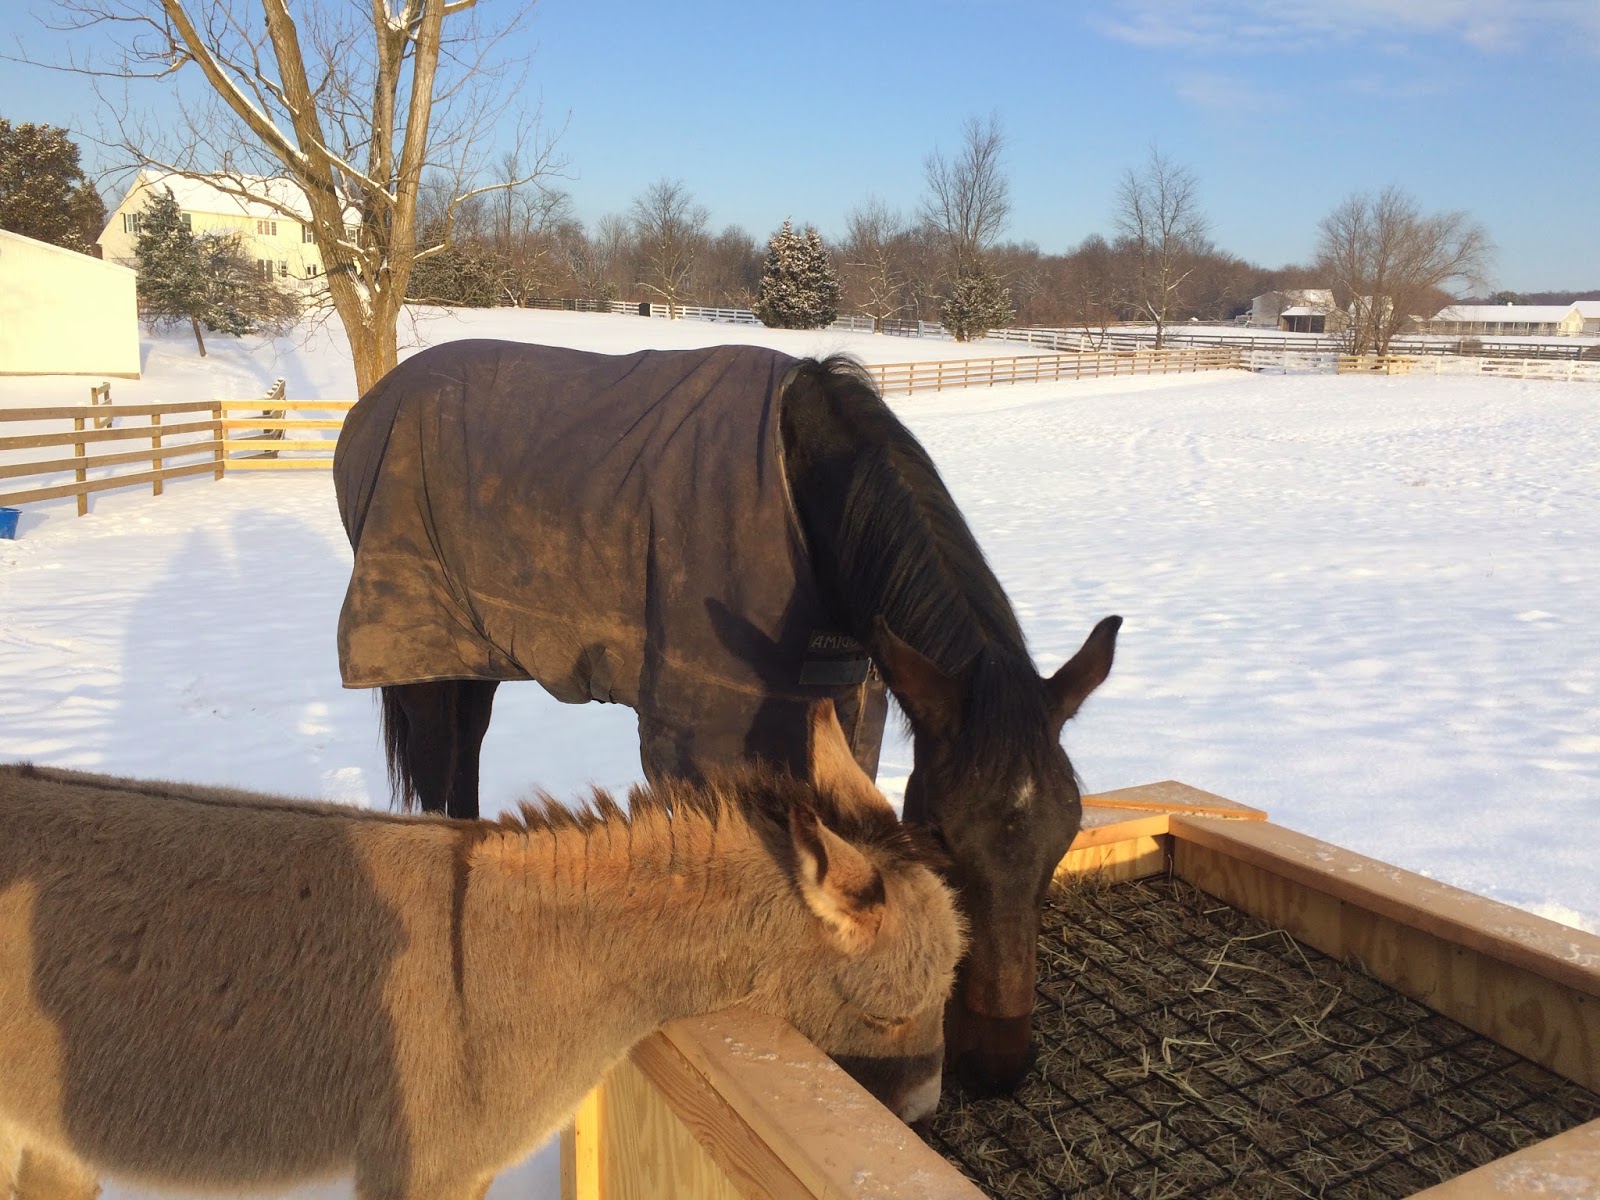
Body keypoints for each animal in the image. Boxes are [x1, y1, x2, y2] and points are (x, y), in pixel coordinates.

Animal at [334, 339, 1120, 1094]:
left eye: (1066, 834)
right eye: (941, 836)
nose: (997, 1069)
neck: (808, 494)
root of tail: (372, 406)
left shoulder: (844, 712)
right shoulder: (697, 723)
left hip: (476, 659)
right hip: (422, 657)